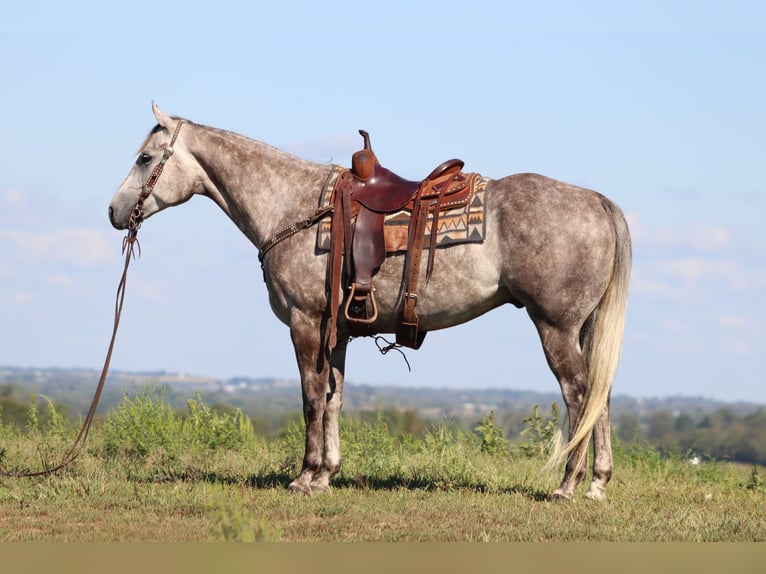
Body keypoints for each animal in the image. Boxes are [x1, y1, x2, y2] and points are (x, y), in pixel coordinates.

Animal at [109, 103, 631, 500]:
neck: (296, 206)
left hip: (556, 327)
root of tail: (597, 201)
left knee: (579, 394)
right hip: (581, 329)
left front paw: (304, 475)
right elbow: (334, 398)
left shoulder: (305, 323)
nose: (114, 211)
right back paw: (597, 485)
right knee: (599, 396)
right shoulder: (336, 331)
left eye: (146, 157)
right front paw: (326, 475)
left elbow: (311, 398)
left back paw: (568, 485)